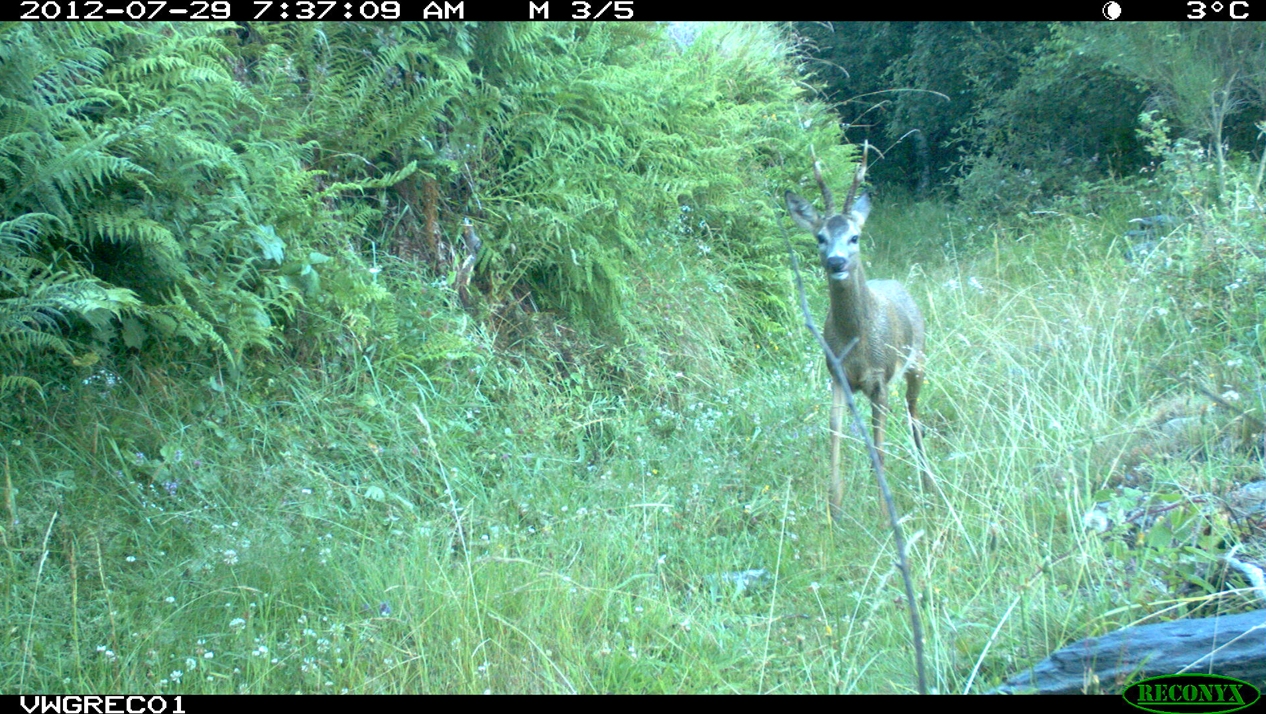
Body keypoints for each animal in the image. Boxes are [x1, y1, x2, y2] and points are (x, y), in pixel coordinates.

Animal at [785, 164, 935, 523]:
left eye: (855, 237)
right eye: (820, 237)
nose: (836, 262)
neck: (856, 344)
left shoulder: (880, 378)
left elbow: (879, 443)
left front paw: (884, 513)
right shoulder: (838, 375)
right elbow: (835, 431)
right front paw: (834, 509)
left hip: (918, 362)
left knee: (914, 416)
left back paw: (928, 484)